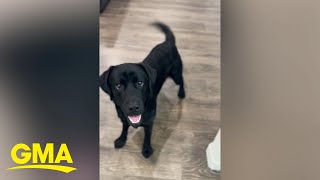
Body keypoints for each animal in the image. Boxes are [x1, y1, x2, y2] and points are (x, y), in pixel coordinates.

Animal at [99, 22, 185, 158]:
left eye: (140, 83)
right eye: (118, 85)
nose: (134, 107)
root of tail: (168, 42)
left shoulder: (149, 122)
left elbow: (147, 136)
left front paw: (147, 149)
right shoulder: (123, 118)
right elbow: (124, 128)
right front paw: (121, 140)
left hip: (176, 74)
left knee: (181, 80)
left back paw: (182, 93)